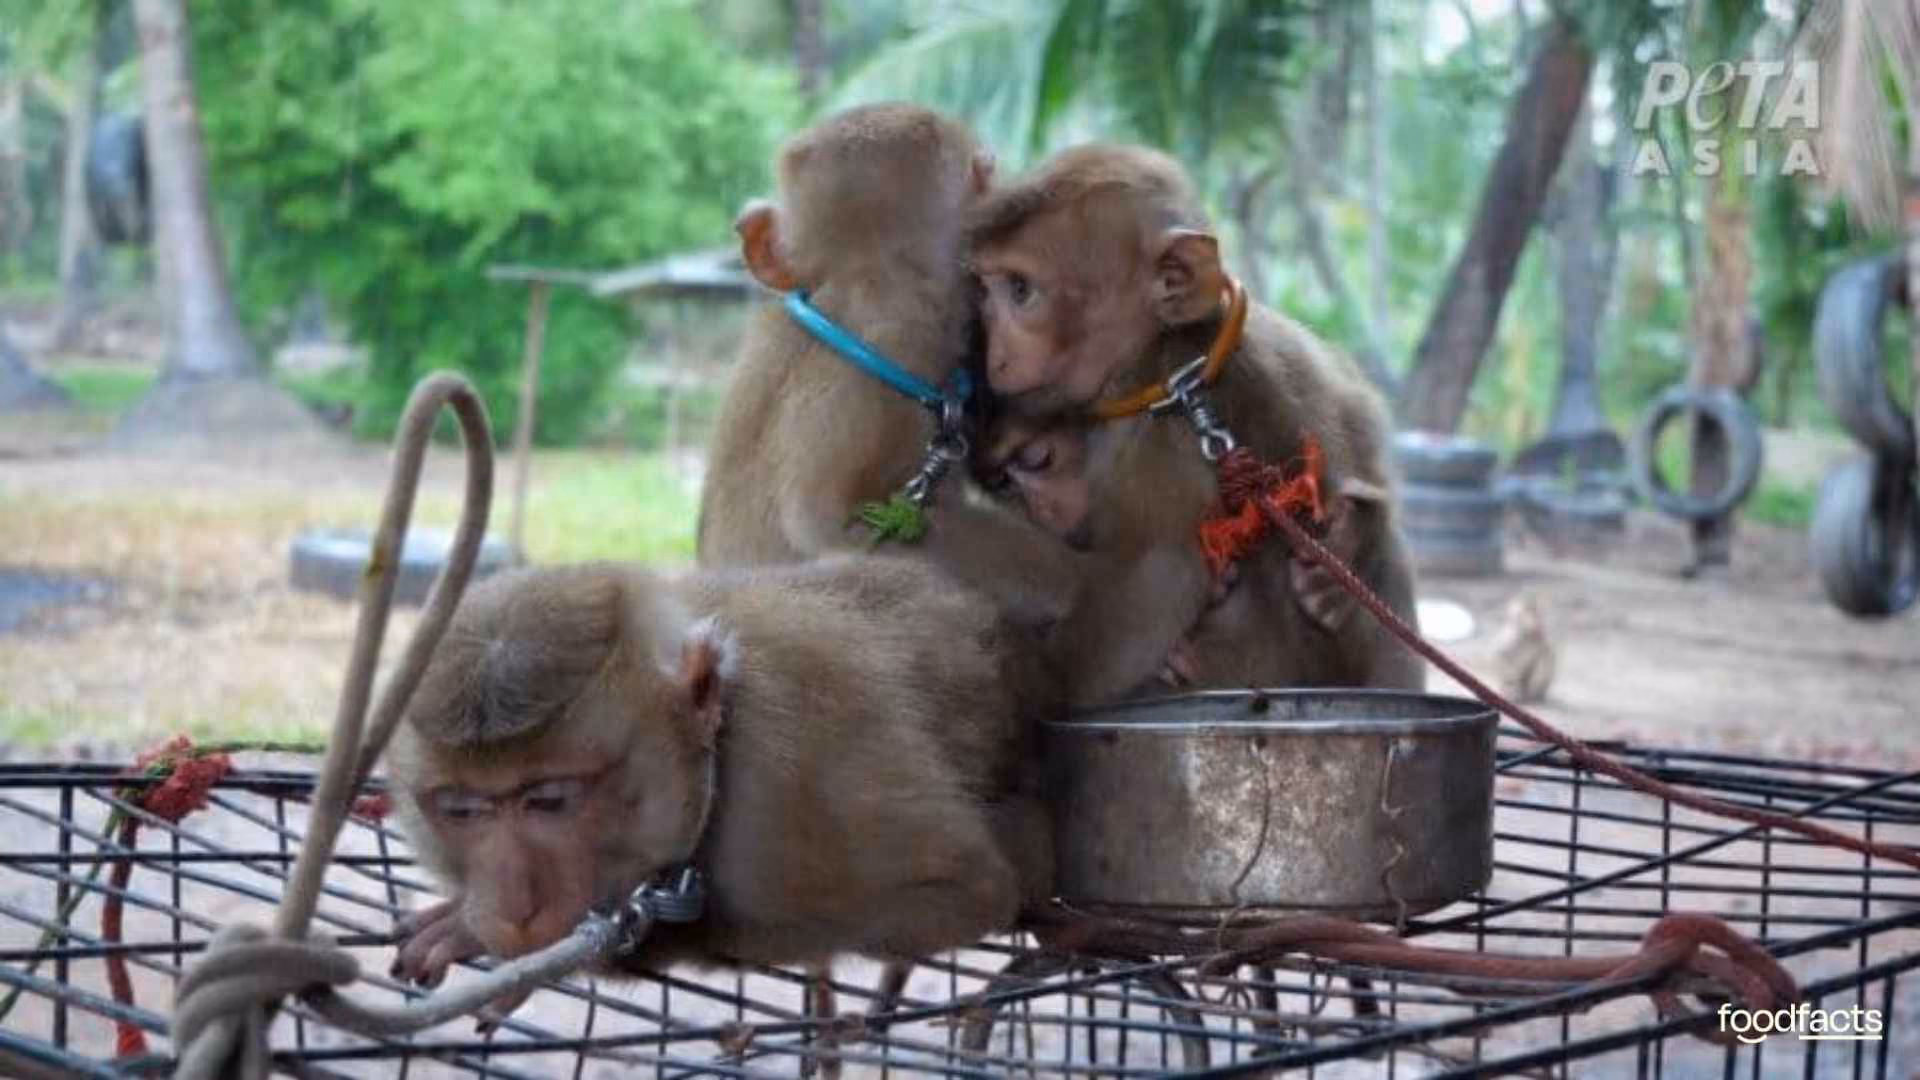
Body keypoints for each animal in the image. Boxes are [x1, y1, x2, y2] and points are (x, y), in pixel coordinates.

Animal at [966, 143, 1425, 696]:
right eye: (983, 293)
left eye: (1020, 289)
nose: (995, 354)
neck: (1172, 372)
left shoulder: (1164, 443)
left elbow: (1150, 592)